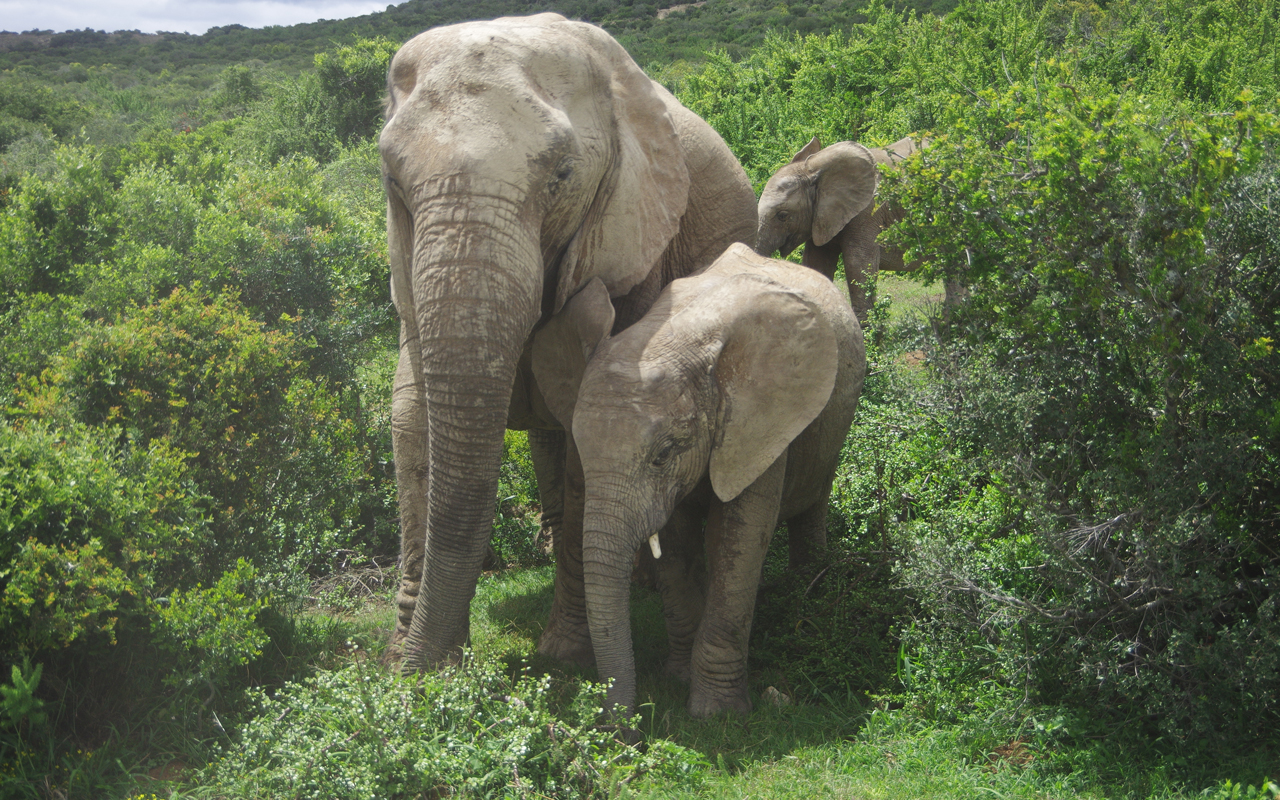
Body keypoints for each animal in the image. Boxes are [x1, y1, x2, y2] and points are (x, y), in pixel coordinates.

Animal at [378, 14, 757, 665]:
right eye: (392, 180)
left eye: (561, 177)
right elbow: (411, 419)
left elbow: (592, 428)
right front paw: (410, 659)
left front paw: (562, 656)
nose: (425, 671)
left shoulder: (634, 242)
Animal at [529, 241, 870, 716]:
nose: (628, 726)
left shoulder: (761, 419)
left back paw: (807, 590)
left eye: (662, 456)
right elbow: (674, 541)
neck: (675, 337)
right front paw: (679, 678)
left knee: (814, 501)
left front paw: (718, 713)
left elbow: (739, 537)